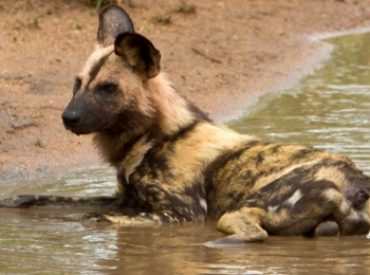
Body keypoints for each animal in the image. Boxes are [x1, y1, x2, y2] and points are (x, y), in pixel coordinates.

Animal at [1, 4, 368, 244]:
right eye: (77, 84)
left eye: (108, 88)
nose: (68, 118)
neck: (153, 137)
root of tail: (360, 181)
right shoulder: (122, 198)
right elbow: (49, 199)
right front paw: (16, 202)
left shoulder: (180, 214)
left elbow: (94, 218)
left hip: (253, 202)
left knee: (252, 231)